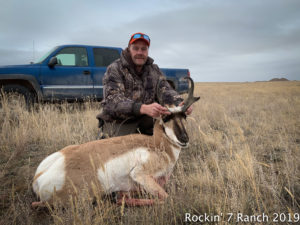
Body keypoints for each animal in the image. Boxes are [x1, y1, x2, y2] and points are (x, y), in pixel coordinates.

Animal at [31, 76, 200, 207]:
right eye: (165, 118)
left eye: (184, 115)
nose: (184, 139)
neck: (157, 144)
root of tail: (38, 179)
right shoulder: (140, 174)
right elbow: (167, 198)